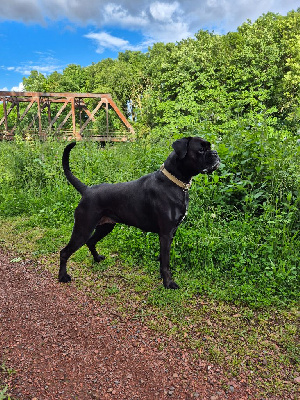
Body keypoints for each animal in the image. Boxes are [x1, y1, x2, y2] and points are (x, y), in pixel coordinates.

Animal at [58, 137, 220, 288]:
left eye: (209, 146)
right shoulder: (166, 234)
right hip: (83, 229)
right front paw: (168, 283)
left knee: (91, 242)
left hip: (105, 227)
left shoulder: (171, 233)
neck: (174, 182)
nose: (215, 153)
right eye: (201, 150)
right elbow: (166, 262)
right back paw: (63, 276)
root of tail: (87, 190)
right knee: (64, 252)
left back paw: (97, 259)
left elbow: (163, 259)